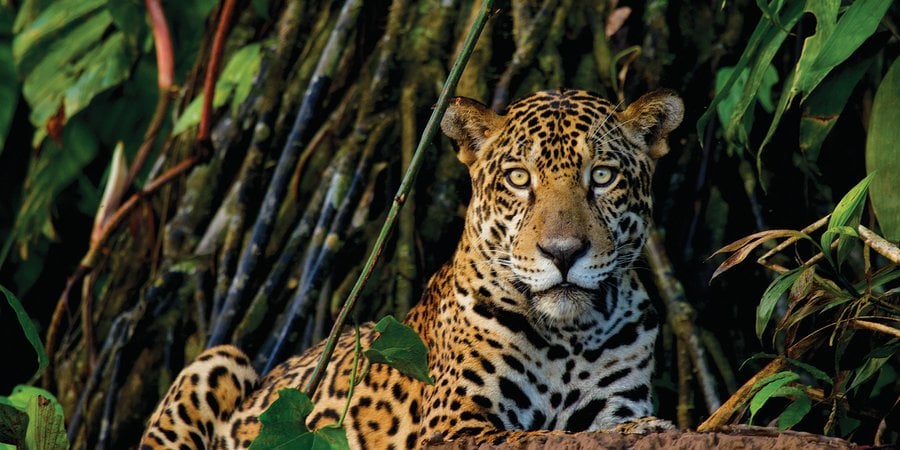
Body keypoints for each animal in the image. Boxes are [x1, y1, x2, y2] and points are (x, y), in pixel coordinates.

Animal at [139, 88, 684, 450]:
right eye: (518, 178)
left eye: (603, 176)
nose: (563, 252)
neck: (570, 337)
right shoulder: (455, 426)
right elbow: (532, 438)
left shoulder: (614, 399)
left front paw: (639, 428)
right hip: (218, 360)